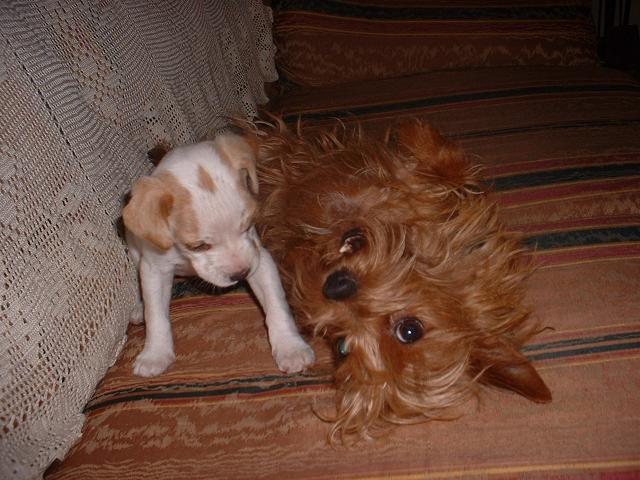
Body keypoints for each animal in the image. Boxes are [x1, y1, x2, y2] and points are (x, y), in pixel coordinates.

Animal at [122, 133, 316, 376]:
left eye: (248, 225)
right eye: (198, 246)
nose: (241, 274)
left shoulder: (259, 259)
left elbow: (276, 306)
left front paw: (291, 347)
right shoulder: (155, 270)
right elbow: (156, 316)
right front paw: (155, 354)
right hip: (135, 251)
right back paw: (140, 309)